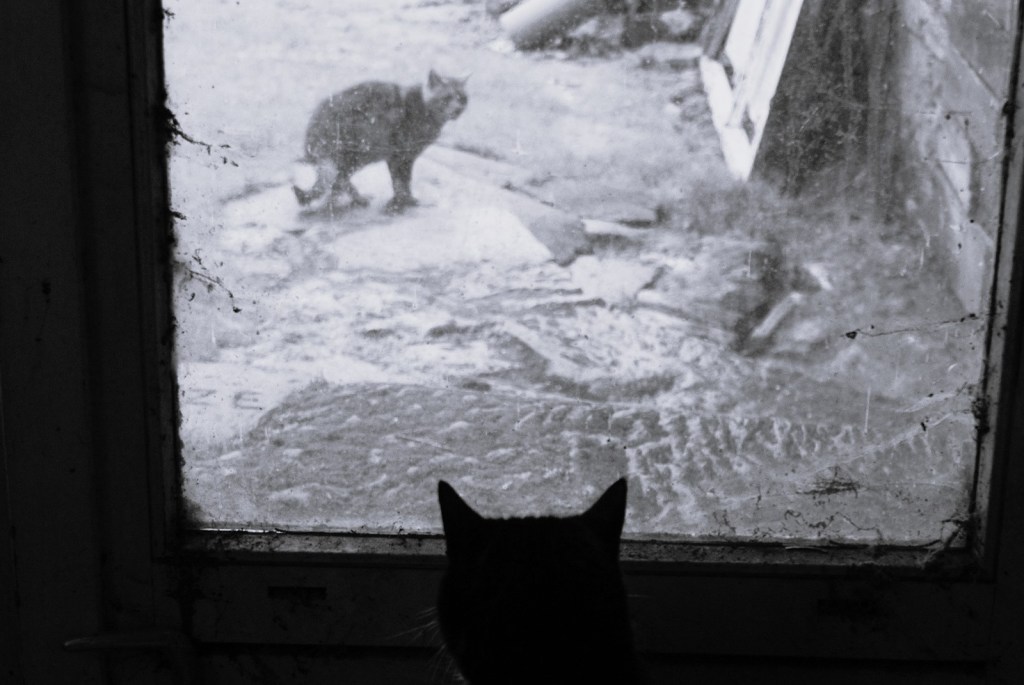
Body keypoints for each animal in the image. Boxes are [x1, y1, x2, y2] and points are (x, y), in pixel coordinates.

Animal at [293, 70, 468, 214]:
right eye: (447, 98)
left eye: (462, 98)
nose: (458, 109)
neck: (425, 111)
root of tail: (314, 125)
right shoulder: (399, 155)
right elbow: (400, 181)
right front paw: (401, 202)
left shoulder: (405, 157)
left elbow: (404, 180)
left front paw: (404, 200)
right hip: (357, 151)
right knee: (338, 180)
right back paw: (352, 199)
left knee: (337, 180)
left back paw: (352, 199)